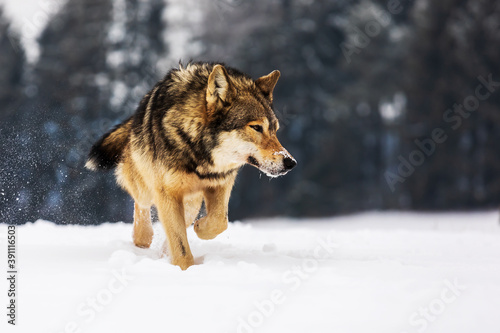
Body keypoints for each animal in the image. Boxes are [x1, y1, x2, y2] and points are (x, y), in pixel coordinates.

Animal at [86, 61, 296, 270]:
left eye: (275, 130)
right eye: (256, 127)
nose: (290, 162)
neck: (200, 155)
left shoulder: (221, 183)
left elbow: (219, 221)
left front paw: (200, 228)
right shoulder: (167, 194)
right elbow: (181, 246)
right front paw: (185, 269)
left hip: (191, 203)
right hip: (147, 189)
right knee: (142, 204)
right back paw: (142, 239)